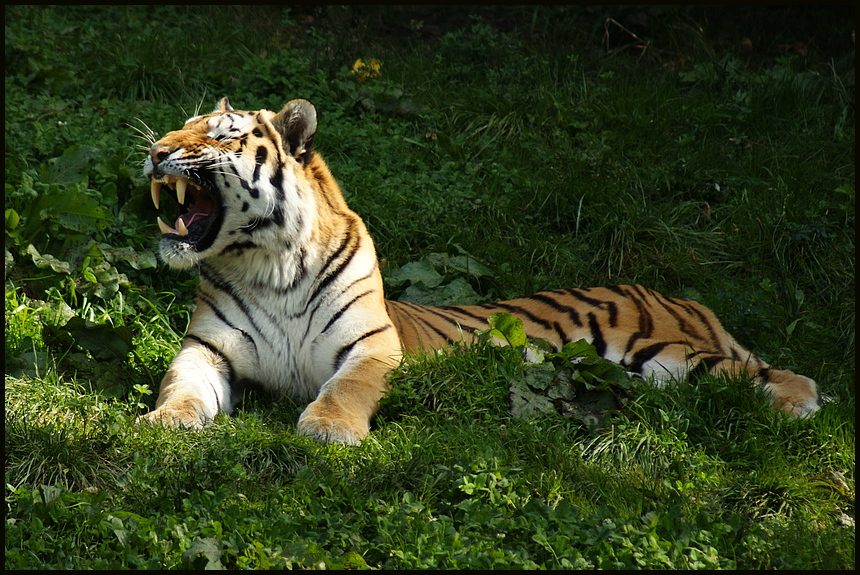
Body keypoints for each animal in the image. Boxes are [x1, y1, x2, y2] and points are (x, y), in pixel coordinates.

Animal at [139, 98, 820, 446]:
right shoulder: (206, 348)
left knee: (764, 373)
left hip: (661, 352)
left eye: (219, 135)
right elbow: (182, 383)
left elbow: (346, 388)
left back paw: (799, 406)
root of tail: (670, 295)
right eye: (182, 125)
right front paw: (165, 421)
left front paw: (329, 429)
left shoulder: (372, 348)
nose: (154, 150)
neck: (269, 263)